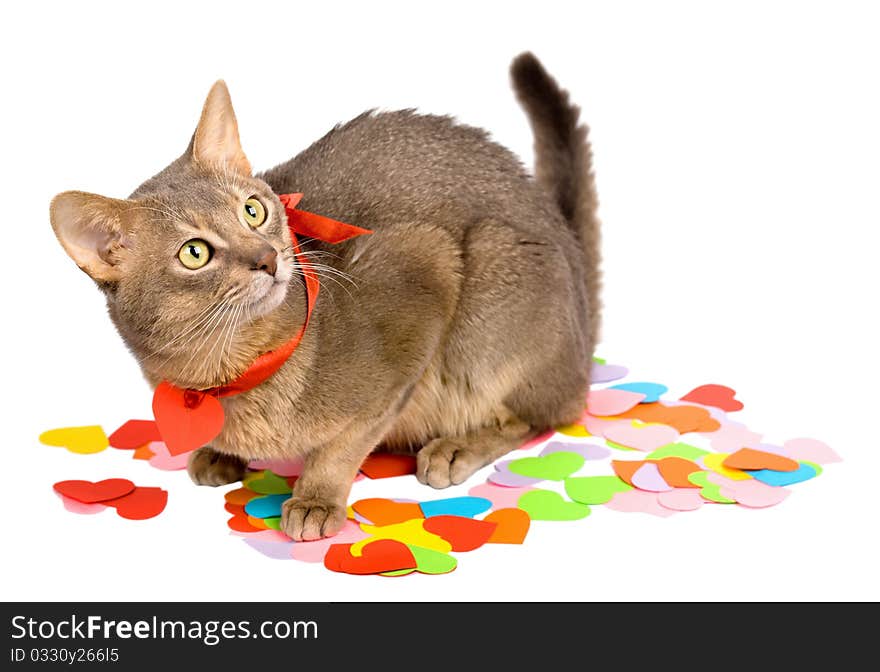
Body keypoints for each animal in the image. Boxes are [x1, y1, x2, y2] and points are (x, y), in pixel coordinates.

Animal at [46, 52, 600, 540]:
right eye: (195, 253)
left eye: (253, 210)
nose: (267, 258)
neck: (228, 372)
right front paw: (221, 454)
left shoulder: (425, 268)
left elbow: (348, 441)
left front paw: (316, 498)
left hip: (488, 286)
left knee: (547, 412)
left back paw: (456, 449)